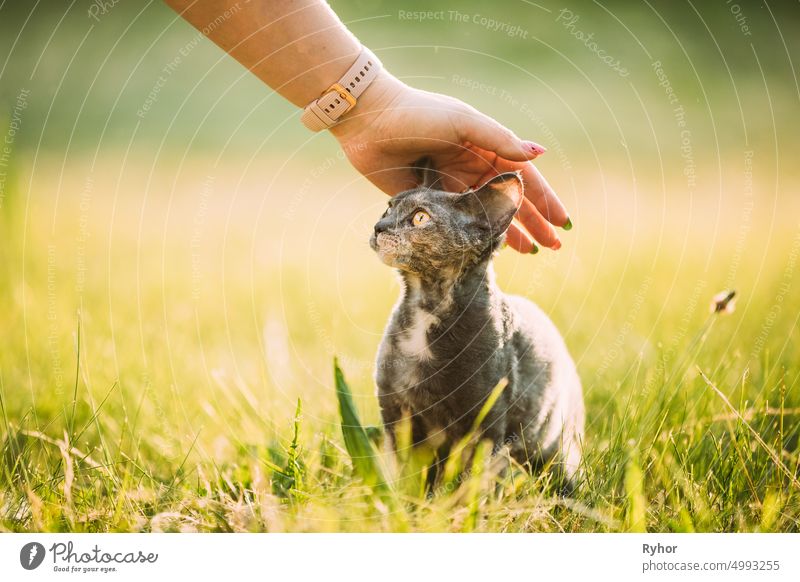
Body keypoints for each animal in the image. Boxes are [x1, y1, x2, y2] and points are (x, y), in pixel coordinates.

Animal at [372, 157, 584, 490]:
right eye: (388, 208)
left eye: (420, 218)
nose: (378, 227)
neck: (425, 306)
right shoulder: (396, 412)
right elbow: (409, 477)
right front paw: (407, 501)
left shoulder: (483, 422)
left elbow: (472, 483)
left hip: (555, 447)